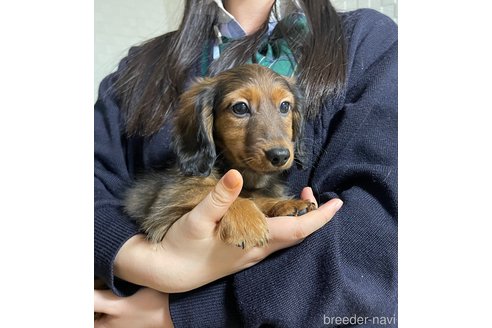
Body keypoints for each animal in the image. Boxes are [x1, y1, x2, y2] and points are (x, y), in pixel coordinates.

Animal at [125, 64, 318, 249]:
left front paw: (286, 204)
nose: (280, 156)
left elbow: (256, 197)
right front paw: (247, 220)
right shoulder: (164, 211)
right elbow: (209, 191)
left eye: (285, 106)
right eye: (240, 107)